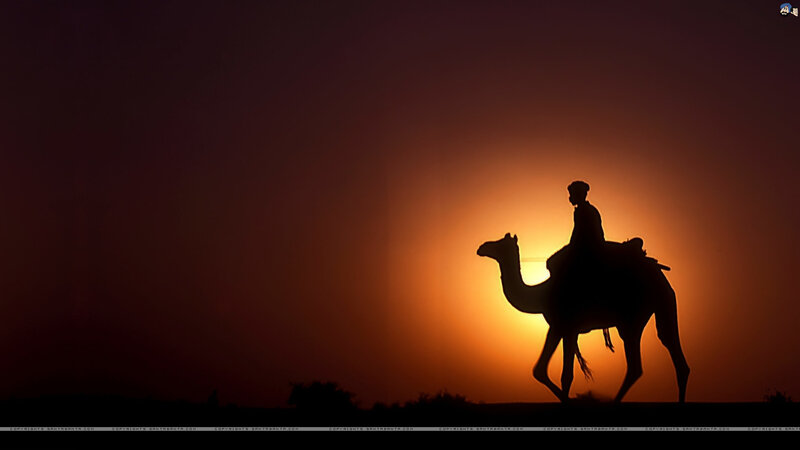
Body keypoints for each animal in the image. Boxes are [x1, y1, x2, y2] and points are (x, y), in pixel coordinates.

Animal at [477, 233, 689, 403]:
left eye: (501, 243)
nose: (482, 247)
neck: (541, 293)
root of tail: (659, 275)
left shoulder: (565, 326)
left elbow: (563, 374)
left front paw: (569, 400)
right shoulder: (560, 328)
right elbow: (543, 370)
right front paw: (568, 399)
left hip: (631, 318)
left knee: (636, 365)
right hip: (661, 306)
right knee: (670, 347)